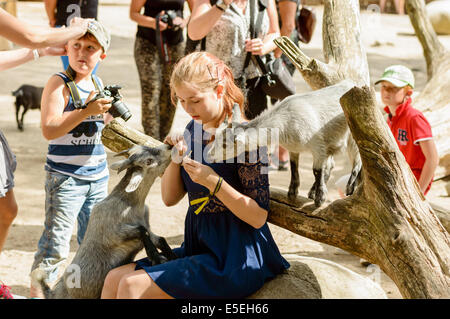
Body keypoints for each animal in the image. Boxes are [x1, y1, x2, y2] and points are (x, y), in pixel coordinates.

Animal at [30, 145, 176, 300]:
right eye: (149, 161)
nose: (169, 146)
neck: (129, 204)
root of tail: (52, 294)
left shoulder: (146, 228)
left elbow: (159, 238)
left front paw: (172, 257)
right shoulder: (113, 235)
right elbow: (142, 231)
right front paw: (157, 258)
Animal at [208, 79, 362, 206]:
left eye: (225, 145)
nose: (210, 156)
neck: (285, 121)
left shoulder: (317, 146)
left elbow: (316, 171)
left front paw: (320, 198)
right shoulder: (294, 148)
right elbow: (294, 167)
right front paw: (292, 192)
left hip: (352, 137)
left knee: (357, 160)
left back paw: (350, 187)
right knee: (330, 165)